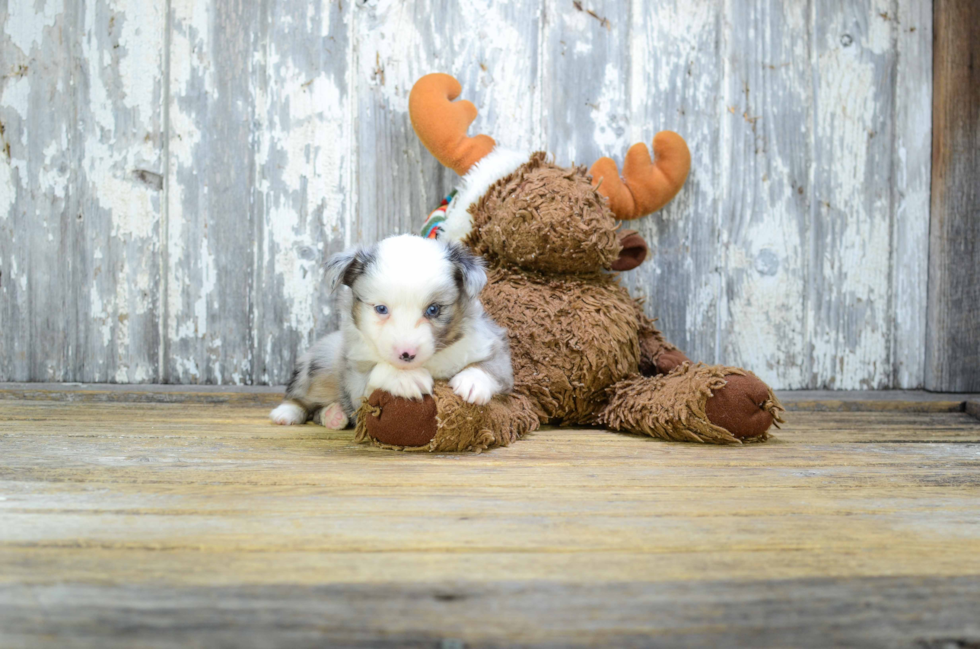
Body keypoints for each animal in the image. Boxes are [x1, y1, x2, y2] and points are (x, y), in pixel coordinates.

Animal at [268, 232, 512, 426]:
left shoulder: (492, 345)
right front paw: (405, 378)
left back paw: (333, 415)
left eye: (433, 309)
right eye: (381, 308)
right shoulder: (355, 378)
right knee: (301, 396)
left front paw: (472, 381)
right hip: (319, 364)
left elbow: (493, 366)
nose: (407, 354)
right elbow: (376, 373)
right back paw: (287, 413)